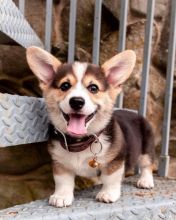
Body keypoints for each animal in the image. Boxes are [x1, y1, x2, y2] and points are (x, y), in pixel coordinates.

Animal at [26, 47, 154, 207]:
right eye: (65, 86)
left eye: (93, 88)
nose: (77, 101)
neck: (80, 141)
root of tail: (136, 113)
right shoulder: (60, 163)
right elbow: (63, 181)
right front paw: (61, 196)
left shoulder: (116, 160)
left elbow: (110, 178)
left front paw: (107, 194)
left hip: (146, 148)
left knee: (147, 164)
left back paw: (146, 181)